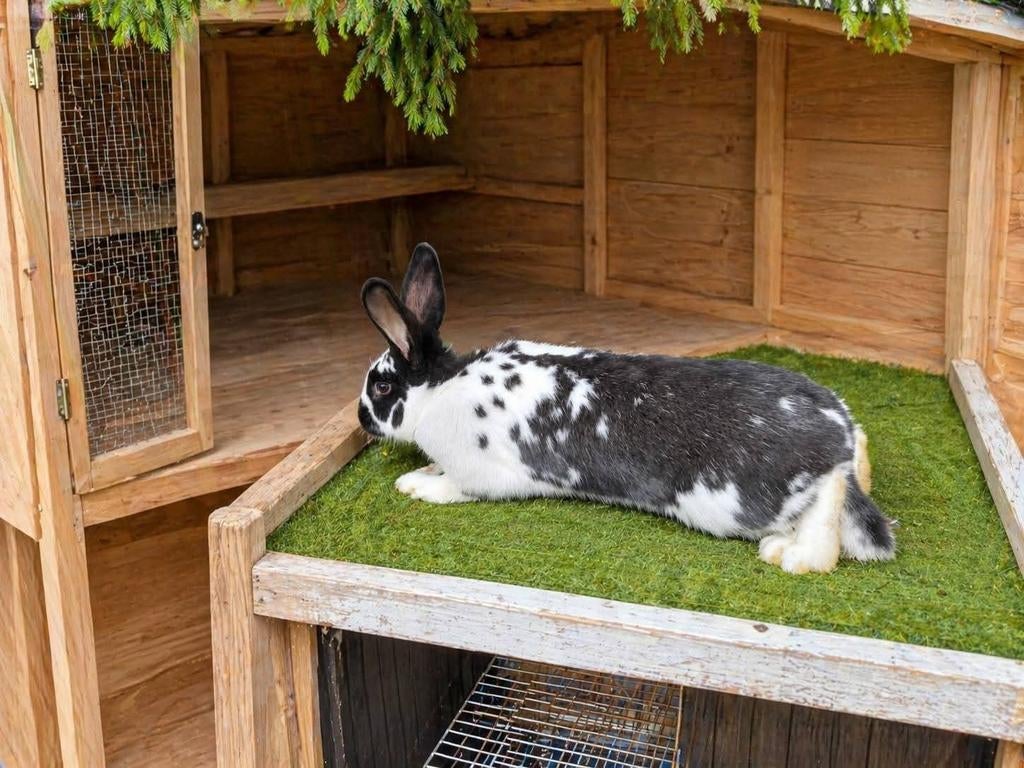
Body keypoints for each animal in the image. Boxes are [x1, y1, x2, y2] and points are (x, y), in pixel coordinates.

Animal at [358, 243, 895, 574]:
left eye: (381, 386)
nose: (360, 419)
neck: (441, 387)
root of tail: (839, 437)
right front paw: (418, 473)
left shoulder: (478, 475)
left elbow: (452, 488)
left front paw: (416, 487)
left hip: (743, 502)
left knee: (827, 509)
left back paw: (791, 556)